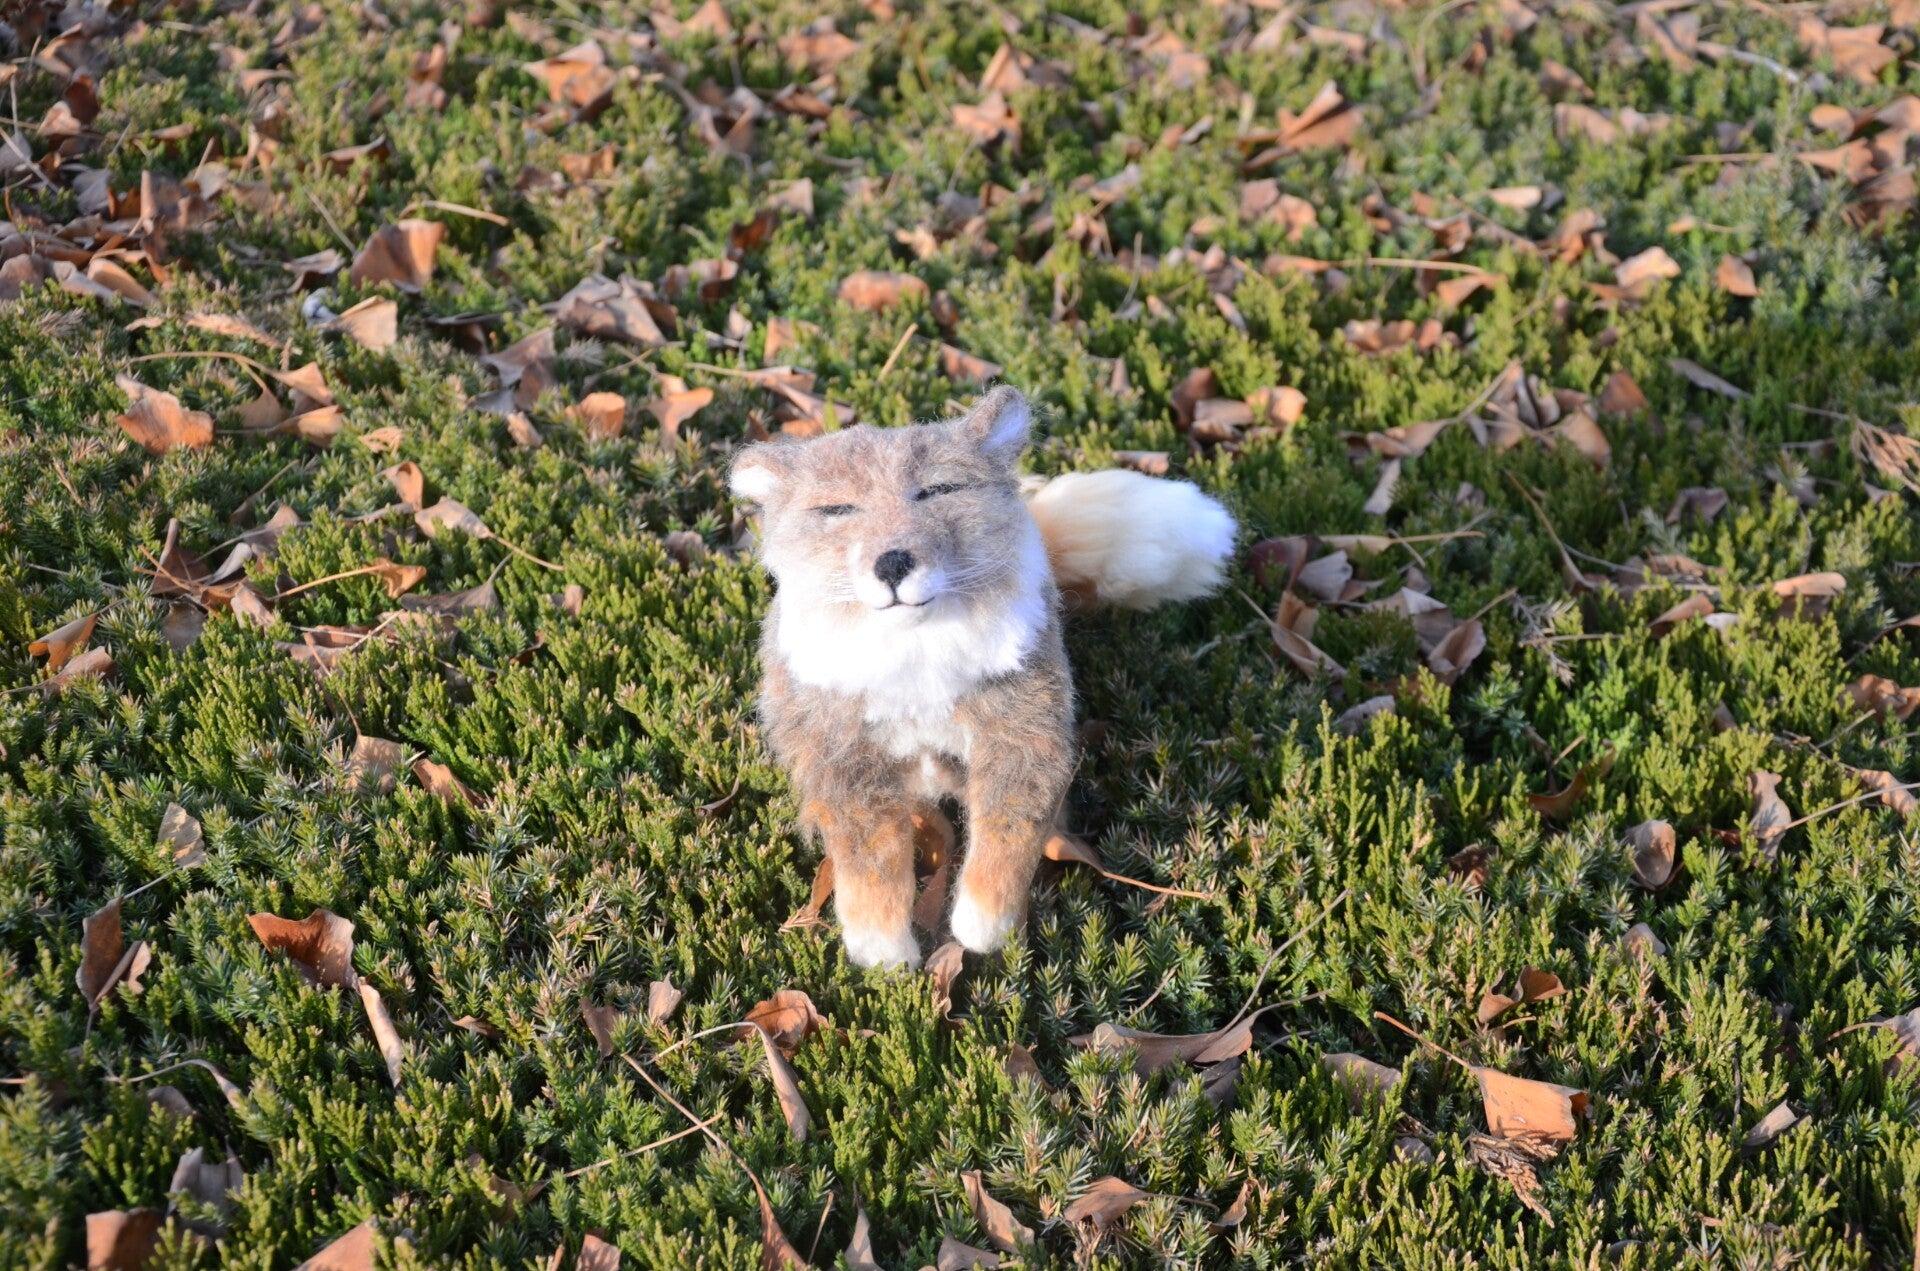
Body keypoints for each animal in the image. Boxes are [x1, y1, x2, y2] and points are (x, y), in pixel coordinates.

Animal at [729, 386, 1236, 969]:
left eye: (938, 490)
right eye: (837, 510)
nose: (893, 563)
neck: (916, 653)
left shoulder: (1023, 734)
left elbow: (1006, 833)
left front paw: (982, 927)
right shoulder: (844, 760)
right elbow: (871, 858)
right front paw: (884, 952)